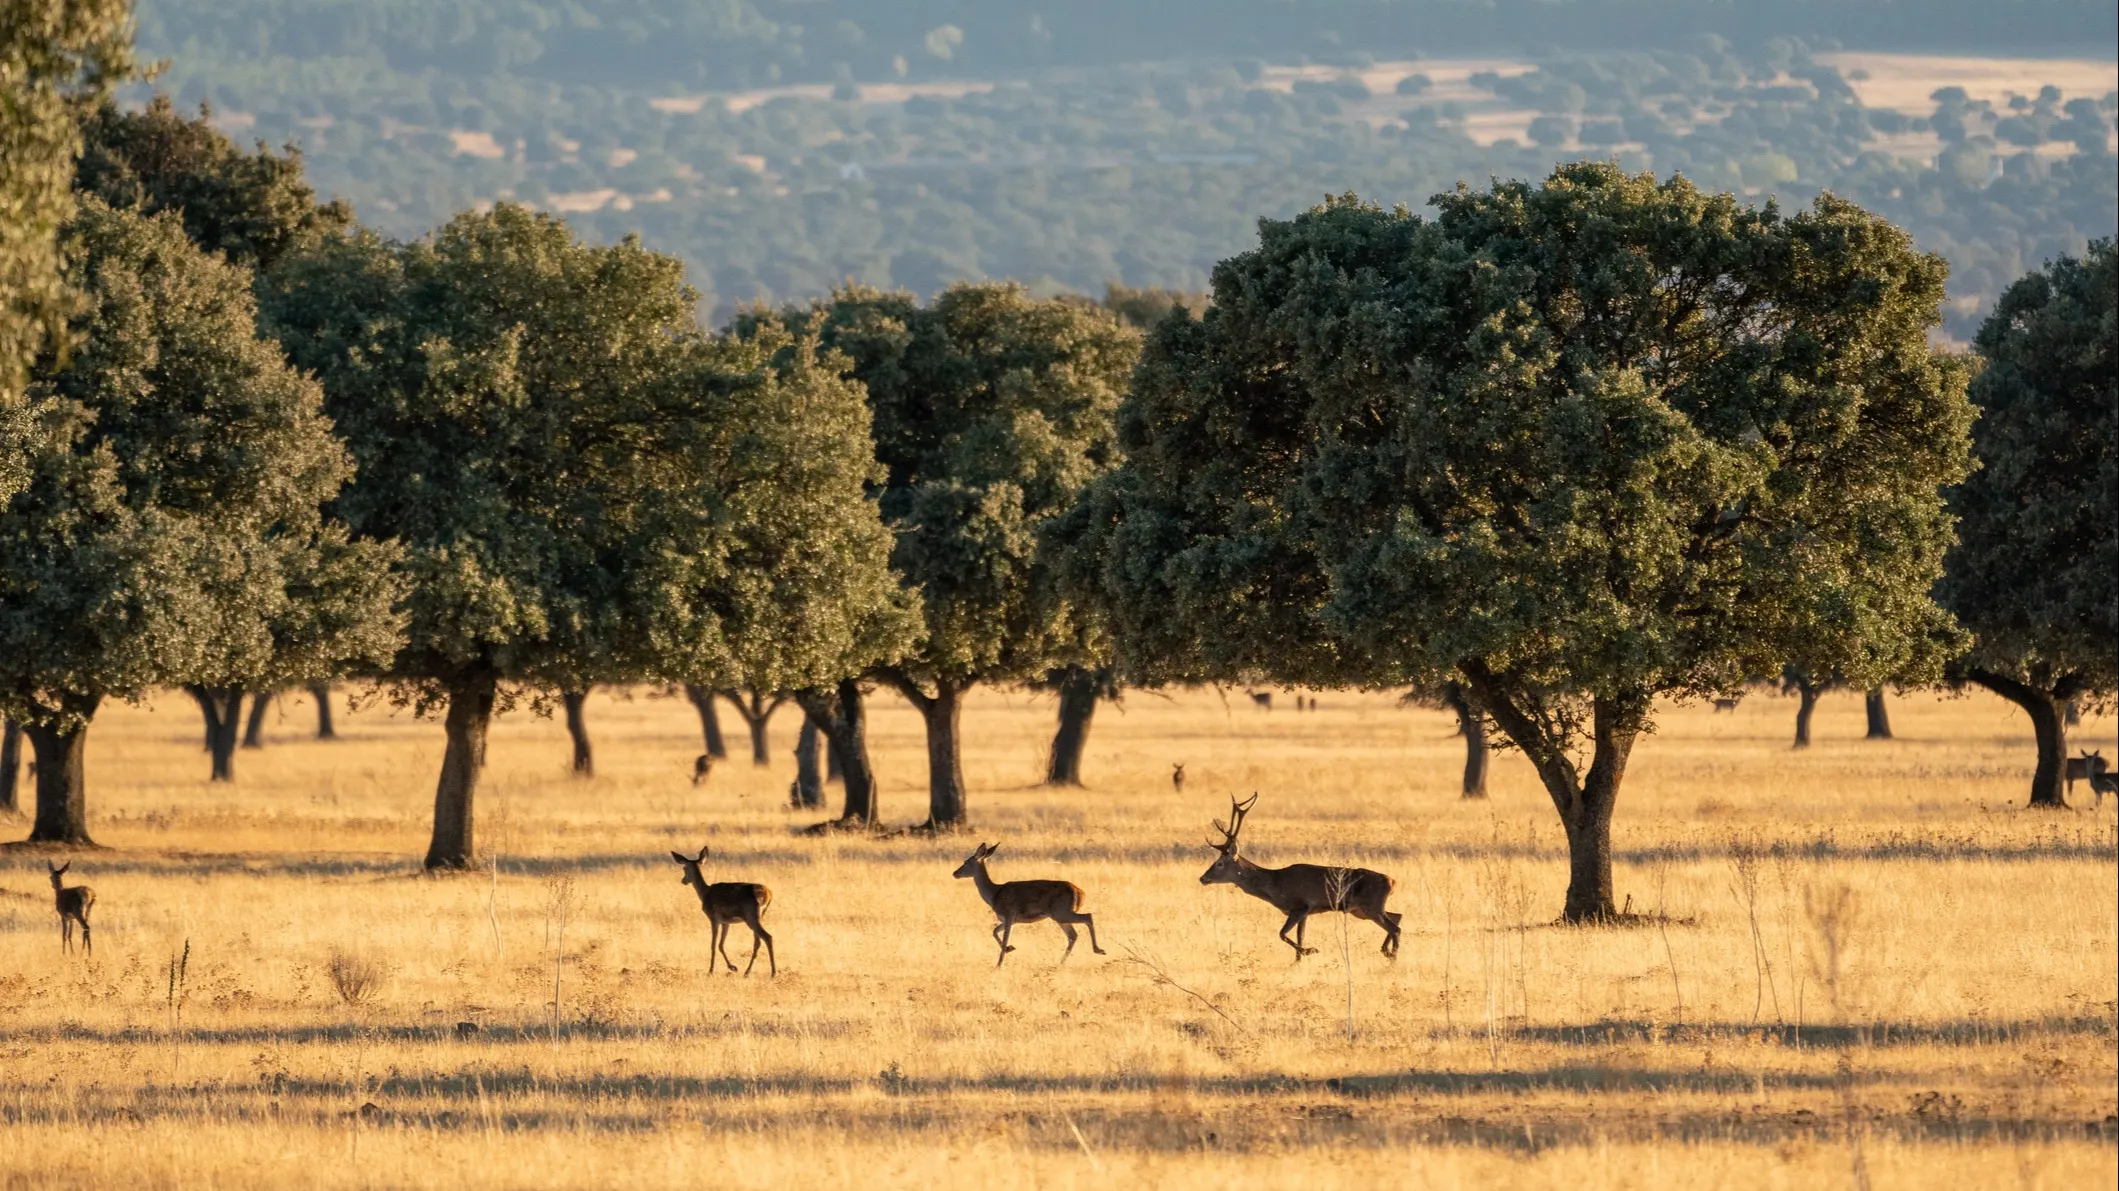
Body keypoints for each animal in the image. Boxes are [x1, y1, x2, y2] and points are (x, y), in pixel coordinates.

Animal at [665, 843, 775, 974]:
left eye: (684, 869)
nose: (683, 881)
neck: (705, 893)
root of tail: (767, 894)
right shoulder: (725, 922)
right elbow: (721, 945)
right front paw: (733, 967)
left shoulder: (713, 918)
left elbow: (713, 945)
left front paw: (711, 970)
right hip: (758, 916)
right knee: (757, 941)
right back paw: (747, 972)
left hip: (751, 916)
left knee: (767, 937)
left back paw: (773, 973)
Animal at [949, 834, 1101, 966]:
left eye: (966, 862)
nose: (955, 873)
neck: (994, 894)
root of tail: (1081, 893)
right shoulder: (1010, 919)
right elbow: (994, 931)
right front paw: (1010, 949)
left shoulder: (1010, 914)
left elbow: (1004, 938)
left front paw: (1000, 963)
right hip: (1059, 916)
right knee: (1073, 935)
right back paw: (1061, 962)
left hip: (1061, 911)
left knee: (1087, 917)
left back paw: (1098, 950)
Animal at [1203, 792, 1398, 957]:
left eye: (1219, 863)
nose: (1202, 878)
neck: (1274, 886)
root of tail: (1392, 881)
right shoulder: (1305, 911)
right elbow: (1300, 937)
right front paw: (1300, 957)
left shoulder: (1300, 905)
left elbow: (1282, 934)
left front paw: (1310, 950)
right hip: (1363, 909)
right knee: (1397, 917)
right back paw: (1386, 950)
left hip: (1371, 905)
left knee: (1395, 928)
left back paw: (1391, 955)